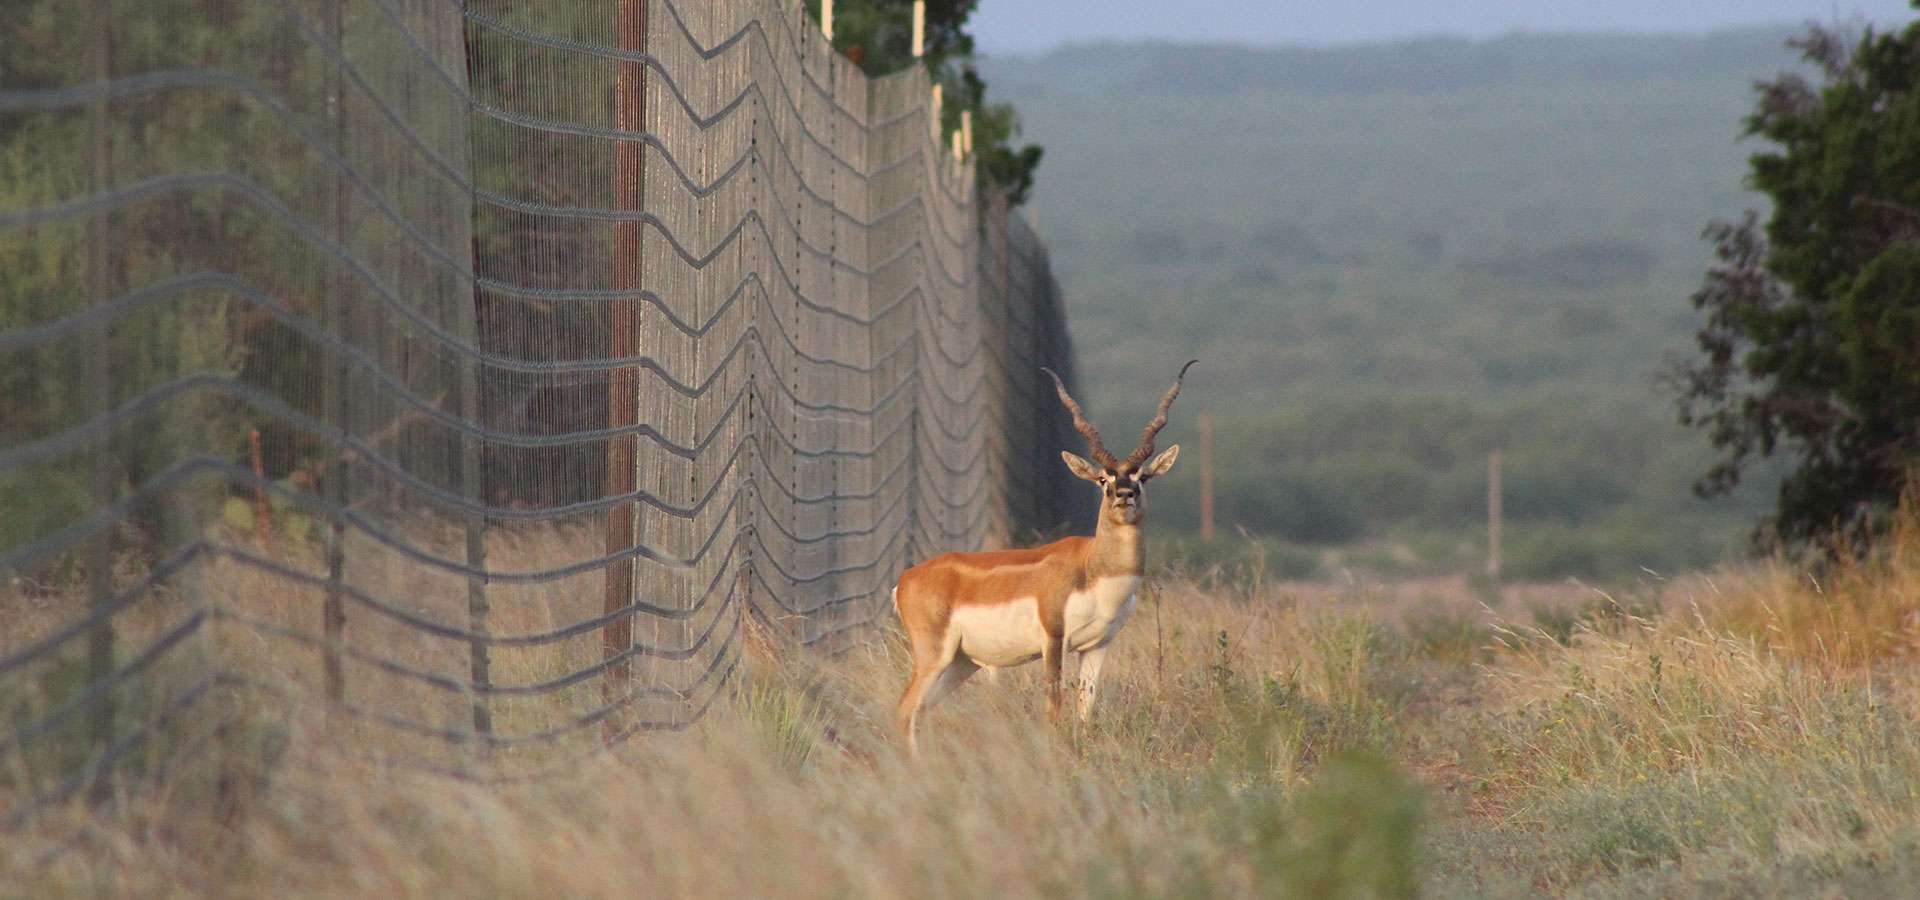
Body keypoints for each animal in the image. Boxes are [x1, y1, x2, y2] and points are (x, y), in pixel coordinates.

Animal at [887, 358, 1190, 752]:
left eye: (1142, 477)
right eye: (1103, 480)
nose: (1124, 495)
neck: (1095, 569)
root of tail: (906, 580)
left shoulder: (1098, 645)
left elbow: (1085, 709)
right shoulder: (1053, 639)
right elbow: (1054, 706)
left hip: (960, 662)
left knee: (920, 712)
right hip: (933, 656)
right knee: (904, 711)